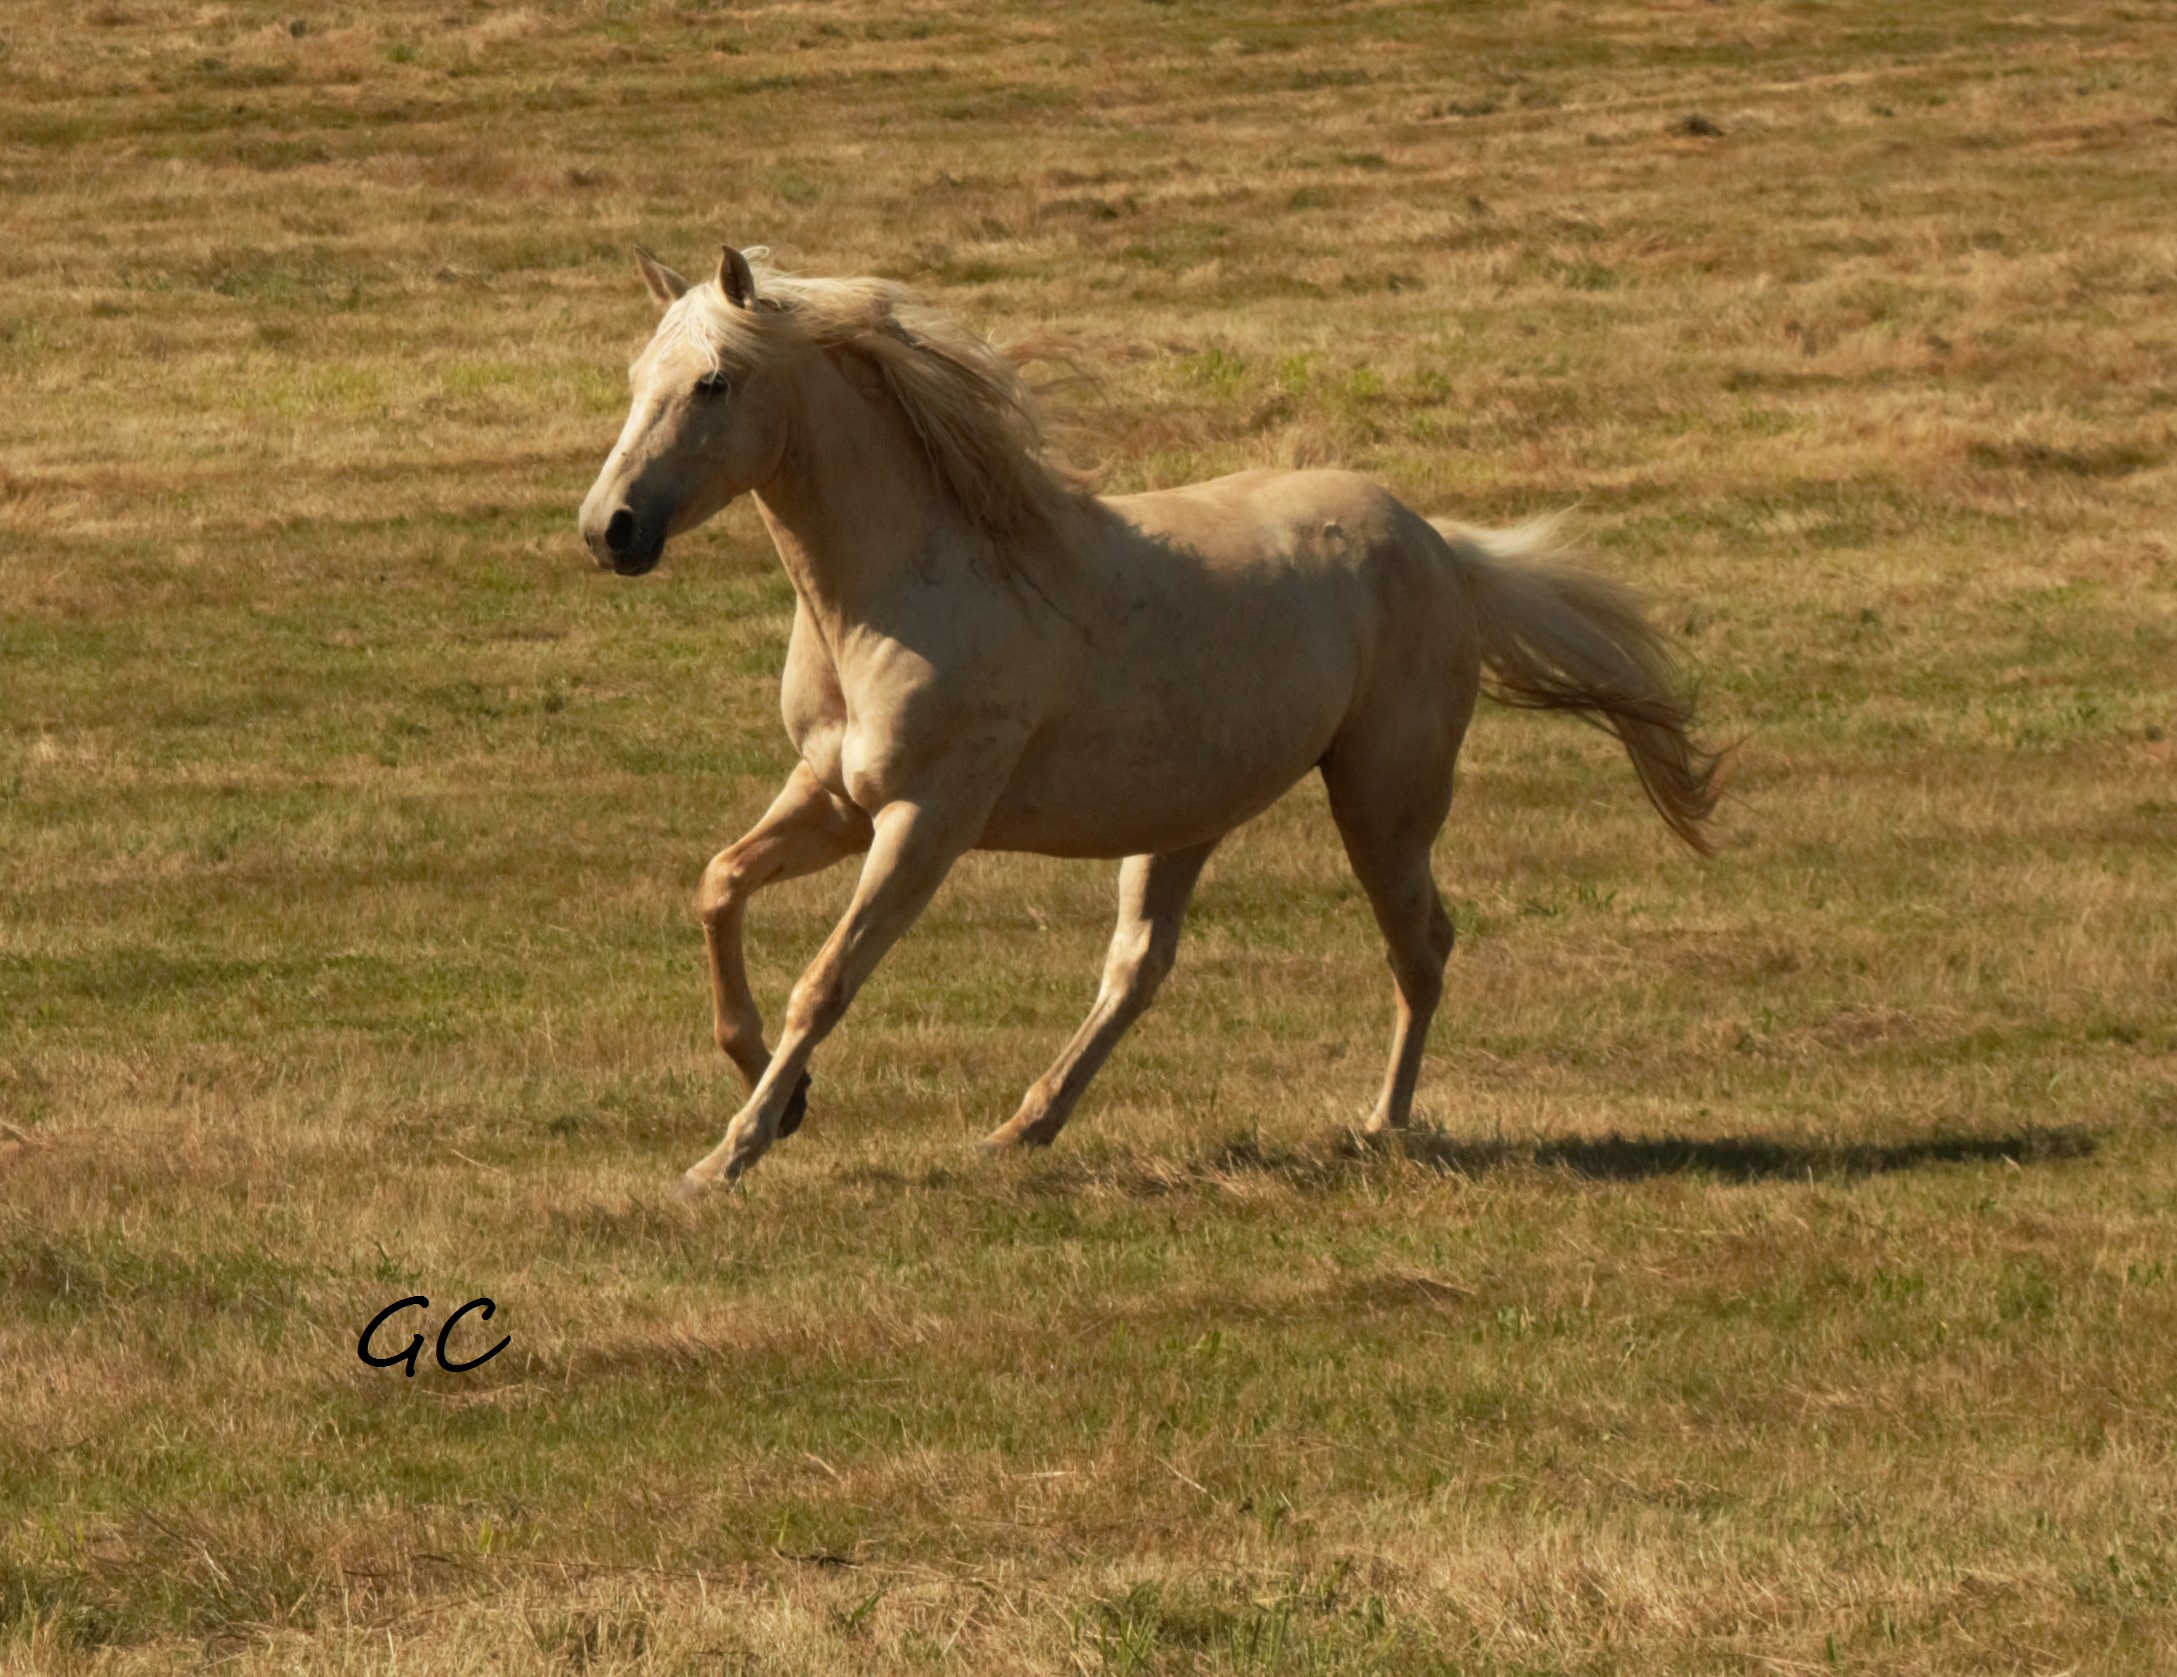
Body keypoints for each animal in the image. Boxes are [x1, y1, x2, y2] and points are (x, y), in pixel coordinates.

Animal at [579, 248, 1715, 1184]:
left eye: (713, 382)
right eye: (637, 380)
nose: (609, 529)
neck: (904, 589)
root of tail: (1438, 546)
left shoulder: (925, 820)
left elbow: (827, 980)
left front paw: (726, 1158)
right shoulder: (834, 799)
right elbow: (717, 886)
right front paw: (782, 1097)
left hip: (1383, 802)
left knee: (1419, 944)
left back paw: (1381, 1124)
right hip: (1185, 822)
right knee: (1137, 969)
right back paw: (1021, 1129)